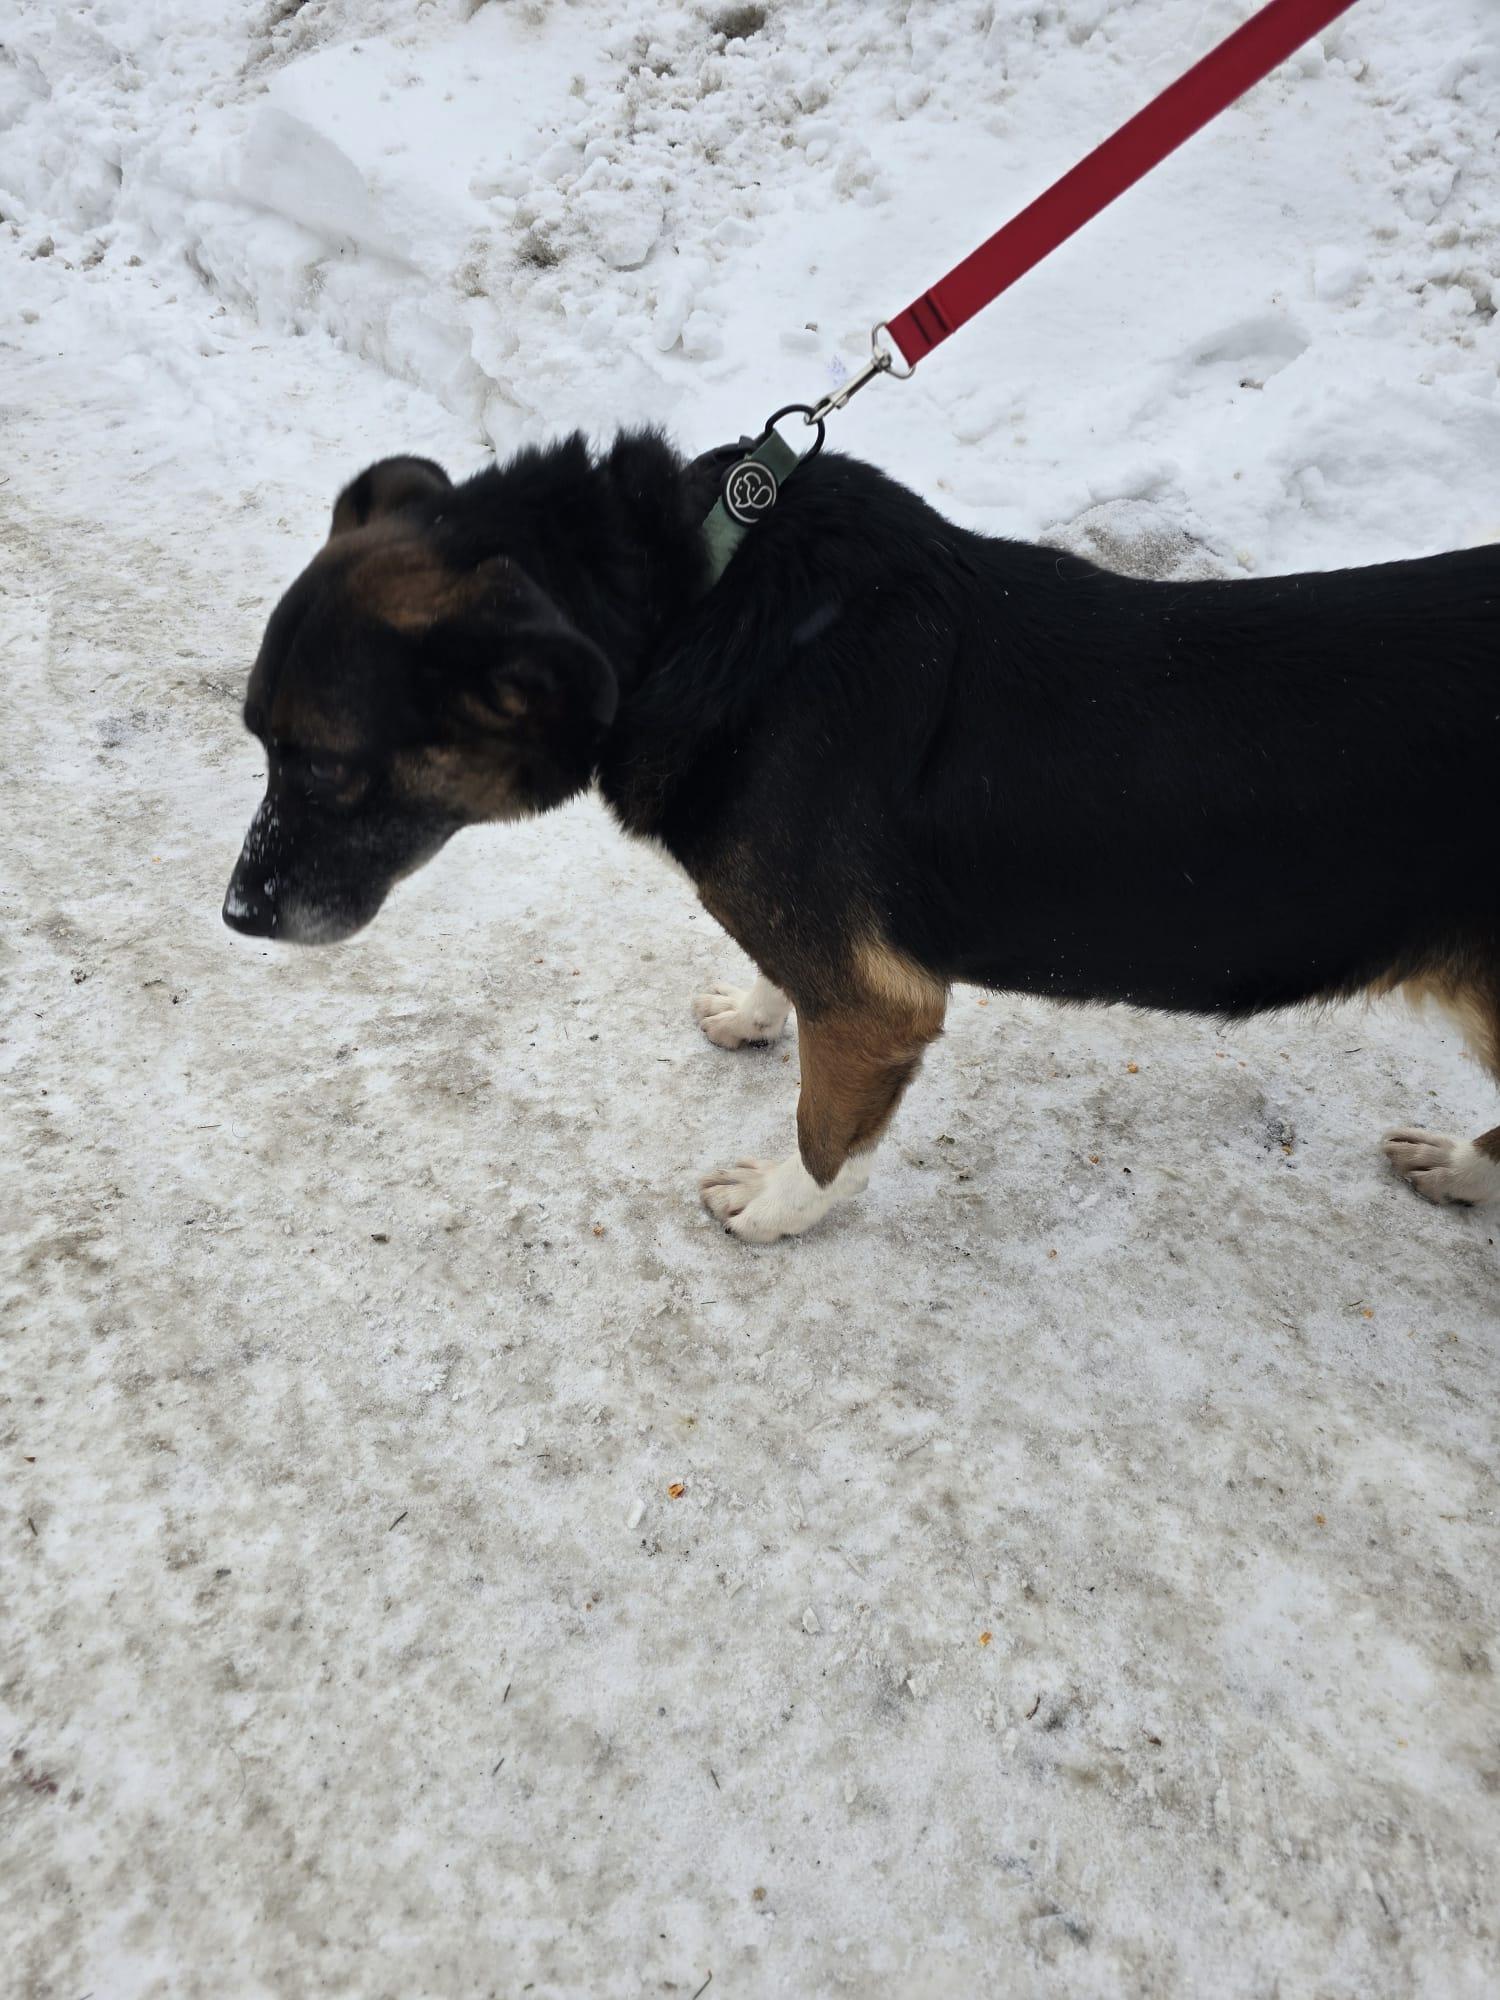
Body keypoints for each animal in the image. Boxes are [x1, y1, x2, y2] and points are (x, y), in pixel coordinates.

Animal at [223, 432, 1500, 1241]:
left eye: (323, 762)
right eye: (254, 735)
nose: (237, 914)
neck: (703, 601)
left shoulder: (881, 1007)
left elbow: (826, 1126)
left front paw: (781, 1207)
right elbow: (778, 981)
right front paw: (754, 1006)